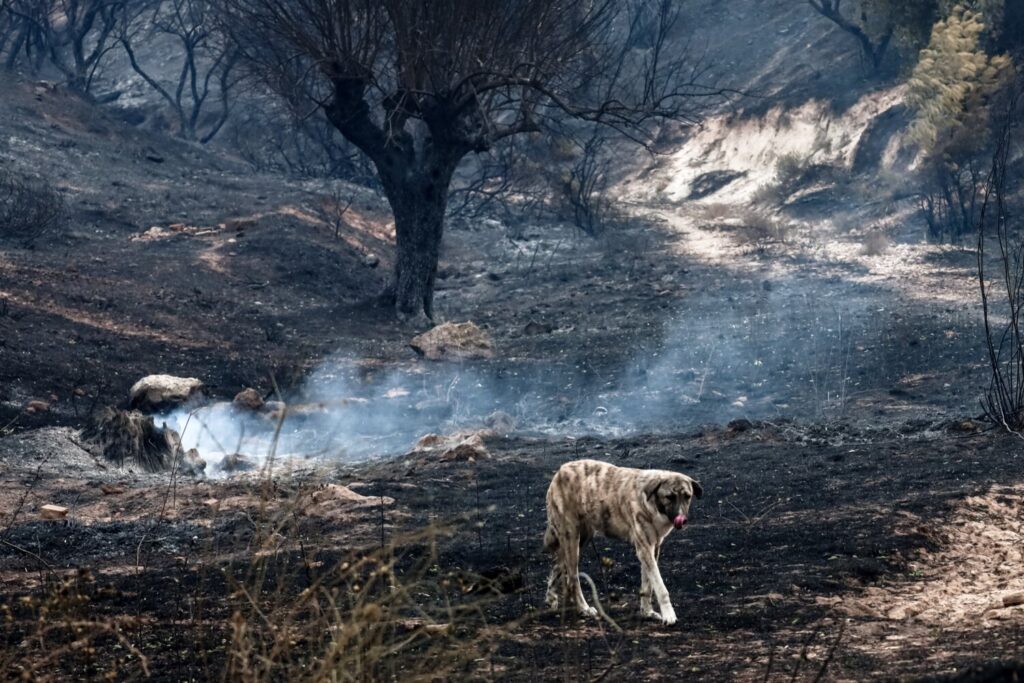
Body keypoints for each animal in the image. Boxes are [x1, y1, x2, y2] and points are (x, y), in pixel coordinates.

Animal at [544, 458, 704, 626]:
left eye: (687, 496)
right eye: (669, 497)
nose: (682, 519)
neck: (651, 503)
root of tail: (561, 470)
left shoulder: (653, 549)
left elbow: (647, 586)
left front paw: (647, 612)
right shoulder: (644, 549)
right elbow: (660, 587)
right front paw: (669, 614)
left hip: (581, 539)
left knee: (557, 565)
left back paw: (551, 597)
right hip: (572, 540)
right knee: (572, 579)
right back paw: (583, 608)